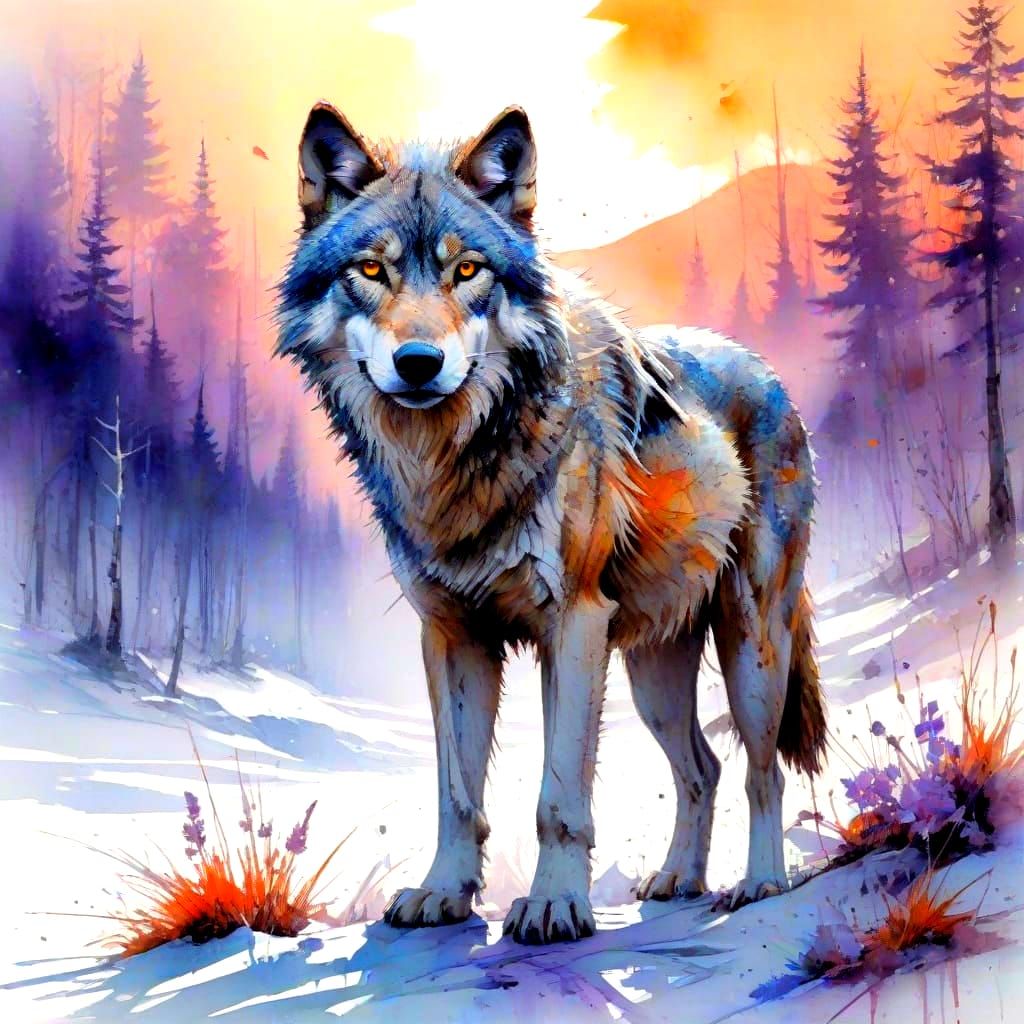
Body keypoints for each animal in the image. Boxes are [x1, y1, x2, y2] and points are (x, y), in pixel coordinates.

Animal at [277, 103, 826, 945]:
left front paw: (555, 906)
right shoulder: (452, 636)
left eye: (468, 271)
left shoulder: (572, 623)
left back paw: (760, 885)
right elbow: (457, 793)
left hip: (749, 647)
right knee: (701, 767)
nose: (417, 362)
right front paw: (444, 894)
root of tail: (769, 375)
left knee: (761, 772)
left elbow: (559, 794)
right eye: (371, 272)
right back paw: (678, 880)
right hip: (651, 671)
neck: (454, 466)